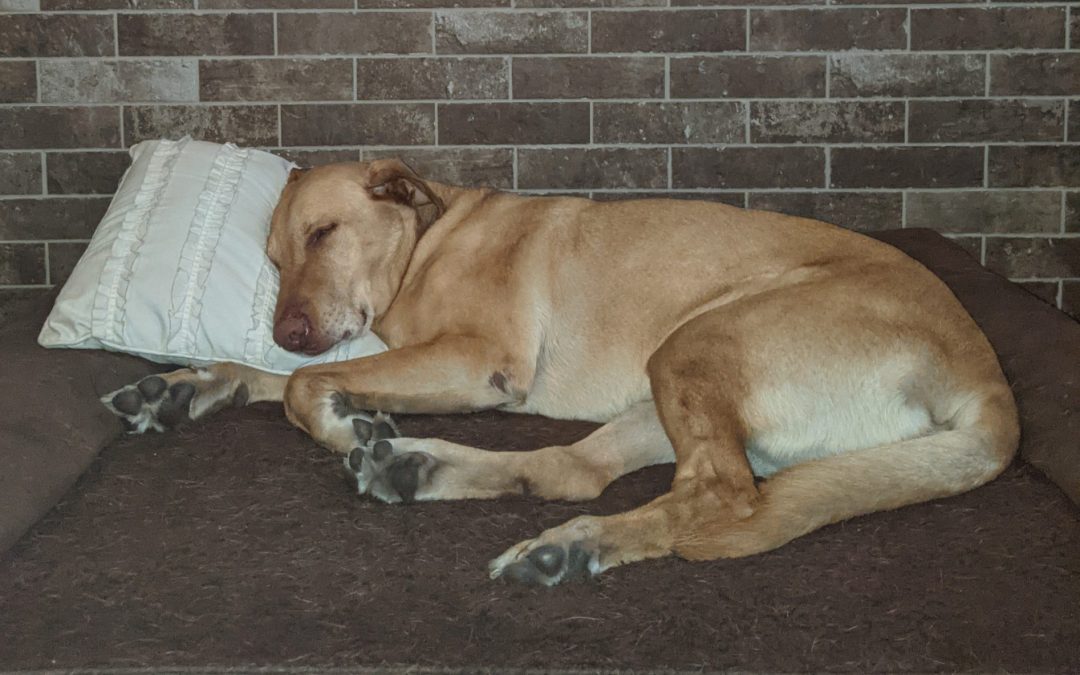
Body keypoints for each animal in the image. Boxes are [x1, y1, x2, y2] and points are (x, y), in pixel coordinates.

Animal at [103, 160, 1019, 587]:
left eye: (324, 233)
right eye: (272, 257)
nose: (288, 330)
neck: (430, 239)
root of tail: (988, 383)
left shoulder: (480, 359)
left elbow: (296, 389)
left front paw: (335, 416)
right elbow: (266, 374)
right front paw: (186, 383)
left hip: (695, 341)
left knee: (722, 496)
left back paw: (569, 542)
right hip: (665, 383)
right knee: (575, 469)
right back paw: (429, 471)